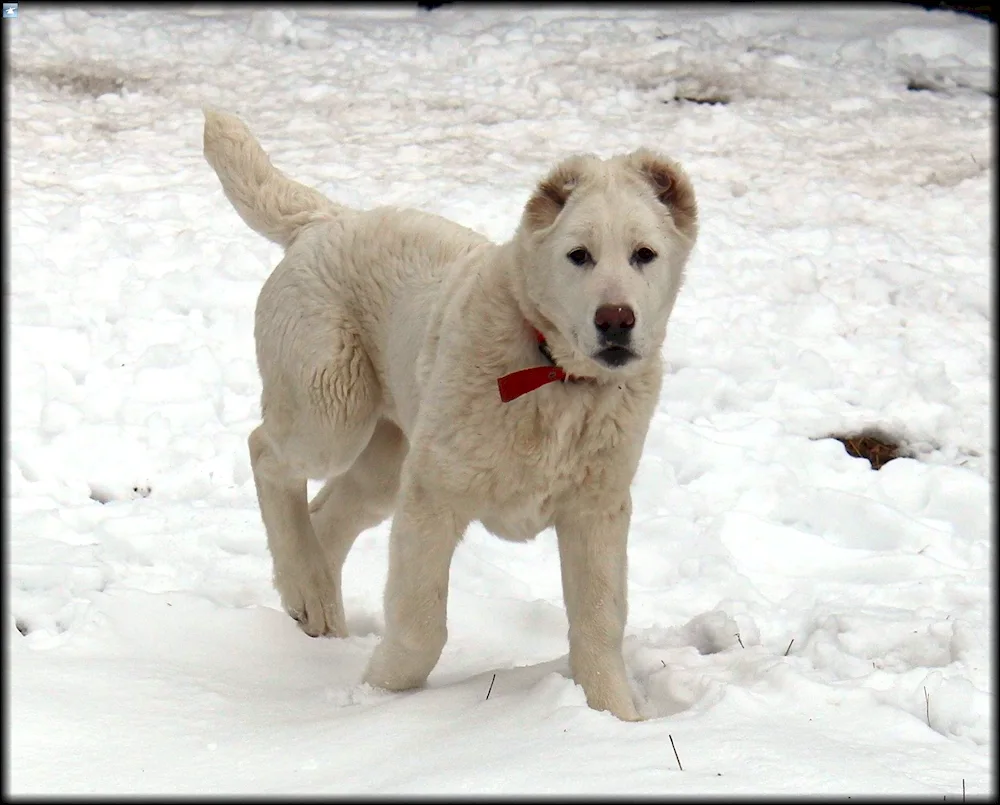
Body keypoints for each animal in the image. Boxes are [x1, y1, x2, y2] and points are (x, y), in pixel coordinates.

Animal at [202, 110, 700, 720]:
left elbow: (598, 624)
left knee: (327, 513)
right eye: (578, 255)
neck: (553, 373)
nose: (615, 319)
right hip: (331, 409)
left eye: (644, 254)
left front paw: (617, 718)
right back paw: (308, 587)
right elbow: (421, 623)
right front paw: (377, 698)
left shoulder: (596, 510)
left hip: (387, 460)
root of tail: (328, 219)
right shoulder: (433, 496)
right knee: (266, 454)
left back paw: (315, 604)